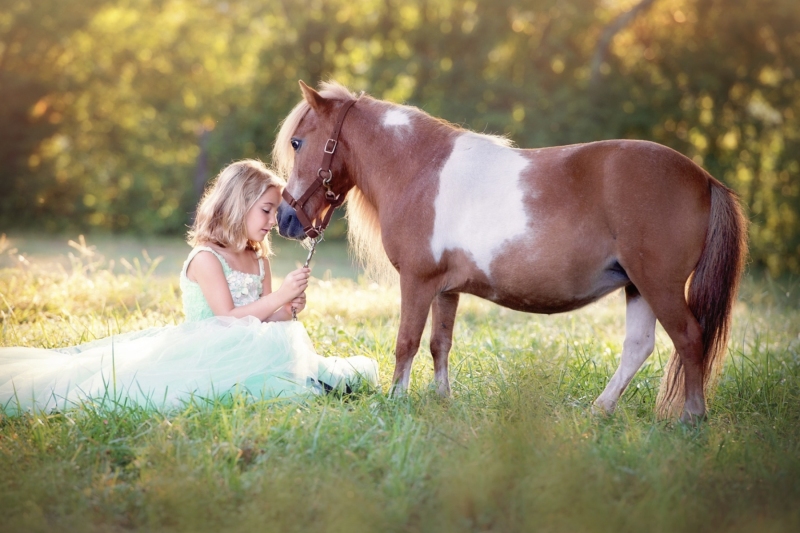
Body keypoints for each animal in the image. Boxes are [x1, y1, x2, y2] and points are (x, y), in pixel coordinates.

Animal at [274, 80, 747, 423]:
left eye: (298, 142)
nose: (285, 218)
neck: (419, 169)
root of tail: (704, 178)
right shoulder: (446, 289)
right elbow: (440, 344)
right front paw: (442, 400)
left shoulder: (417, 282)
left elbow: (406, 342)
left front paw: (396, 401)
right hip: (637, 285)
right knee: (638, 347)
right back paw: (600, 410)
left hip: (659, 284)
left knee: (689, 339)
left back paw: (692, 419)